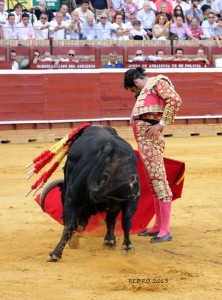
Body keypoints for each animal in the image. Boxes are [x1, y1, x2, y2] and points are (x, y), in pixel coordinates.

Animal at [46, 125, 140, 262]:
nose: (81, 225)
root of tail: (109, 148)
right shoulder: (116, 202)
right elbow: (111, 219)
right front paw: (109, 242)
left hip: (73, 198)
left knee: (69, 225)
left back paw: (55, 254)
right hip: (131, 199)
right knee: (126, 220)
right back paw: (127, 247)